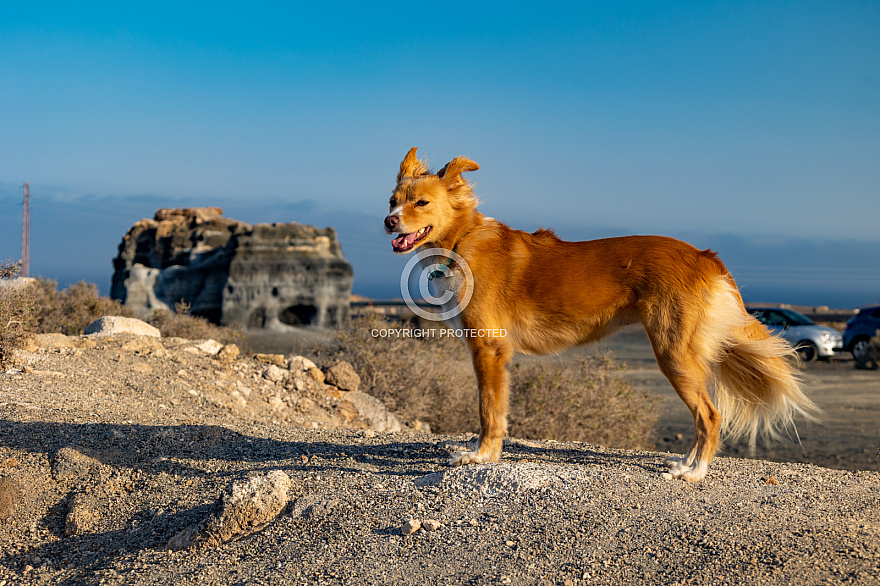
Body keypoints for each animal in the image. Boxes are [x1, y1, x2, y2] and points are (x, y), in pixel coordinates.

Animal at [384, 147, 820, 480]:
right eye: (393, 201)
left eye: (421, 203)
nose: (388, 222)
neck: (463, 239)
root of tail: (705, 257)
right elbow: (497, 411)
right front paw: (486, 455)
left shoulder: (489, 349)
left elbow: (488, 410)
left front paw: (480, 457)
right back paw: (686, 463)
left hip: (673, 354)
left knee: (709, 416)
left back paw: (694, 473)